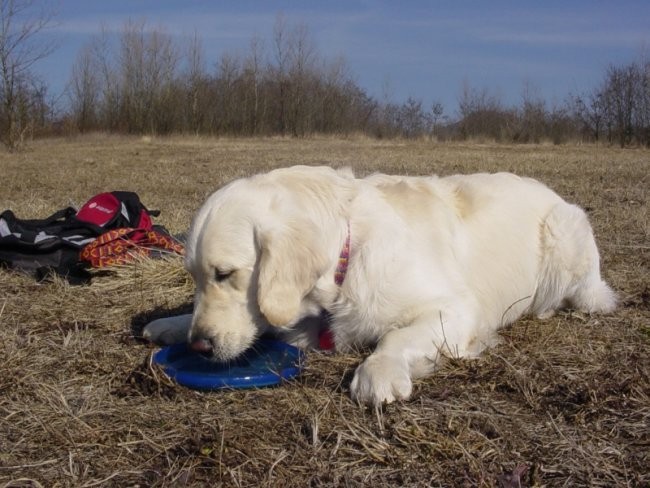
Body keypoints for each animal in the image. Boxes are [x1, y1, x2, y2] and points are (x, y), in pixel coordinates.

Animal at [144, 166, 616, 406]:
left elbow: (396, 336)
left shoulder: (455, 308)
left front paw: (379, 372)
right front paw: (171, 322)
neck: (346, 258)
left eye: (225, 274)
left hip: (566, 229)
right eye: (194, 276)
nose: (200, 346)